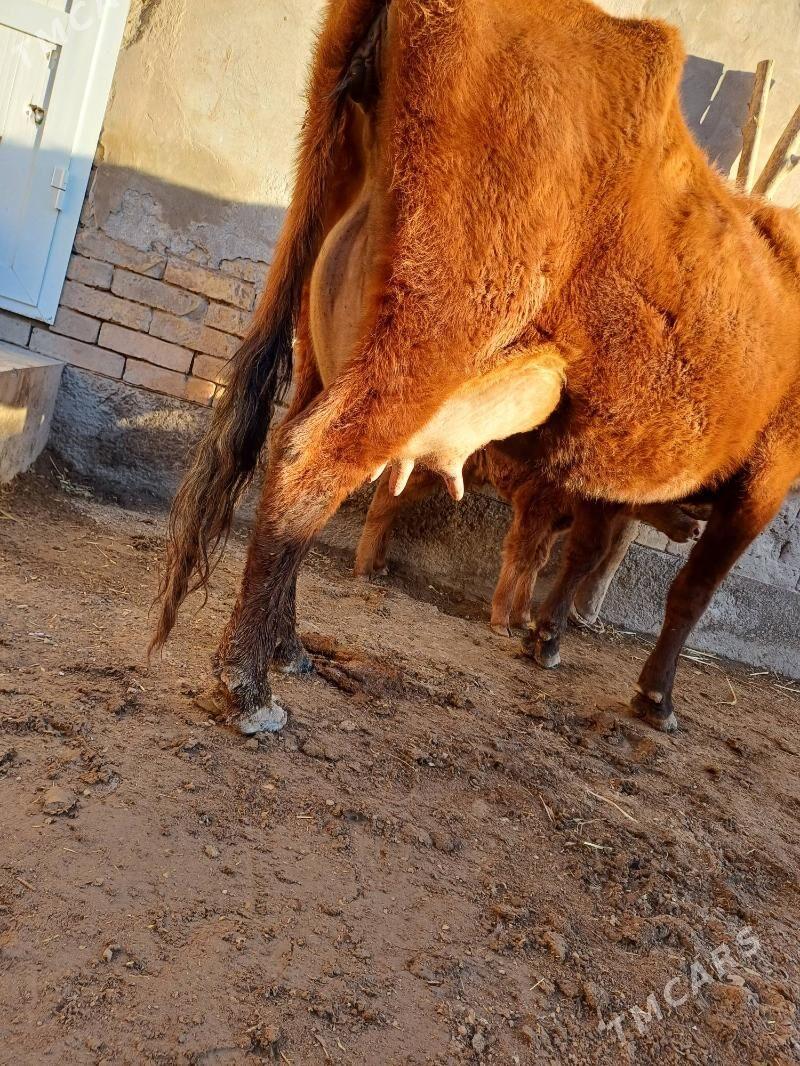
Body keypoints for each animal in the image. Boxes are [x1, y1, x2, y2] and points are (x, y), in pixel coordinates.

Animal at [354, 448, 706, 634]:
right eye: (680, 496)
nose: (696, 531)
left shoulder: (554, 522)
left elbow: (536, 561)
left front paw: (523, 617)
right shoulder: (536, 508)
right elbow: (520, 555)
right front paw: (501, 622)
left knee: (392, 499)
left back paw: (380, 564)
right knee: (385, 500)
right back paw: (363, 568)